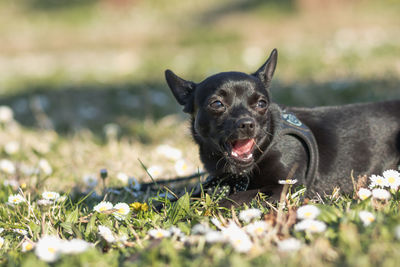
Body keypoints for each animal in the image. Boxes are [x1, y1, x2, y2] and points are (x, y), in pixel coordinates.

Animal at [163, 48, 400, 207]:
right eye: (217, 104)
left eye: (261, 104)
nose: (247, 123)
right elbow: (181, 197)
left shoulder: (286, 187)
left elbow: (235, 198)